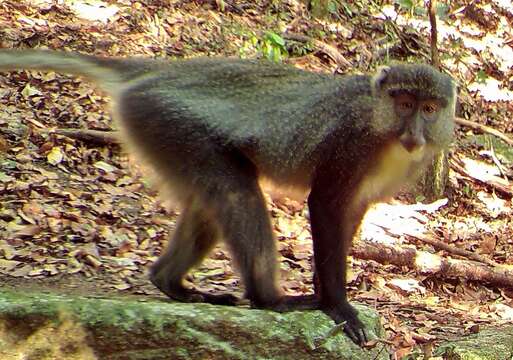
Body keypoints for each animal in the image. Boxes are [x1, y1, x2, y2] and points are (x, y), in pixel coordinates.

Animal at [0, 49, 456, 344]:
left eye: (429, 109)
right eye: (404, 103)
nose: (414, 133)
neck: (383, 131)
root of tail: (153, 74)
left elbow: (350, 216)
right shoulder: (348, 145)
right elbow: (325, 205)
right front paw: (337, 305)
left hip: (164, 135)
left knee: (213, 199)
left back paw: (169, 282)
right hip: (166, 121)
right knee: (239, 194)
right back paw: (270, 300)